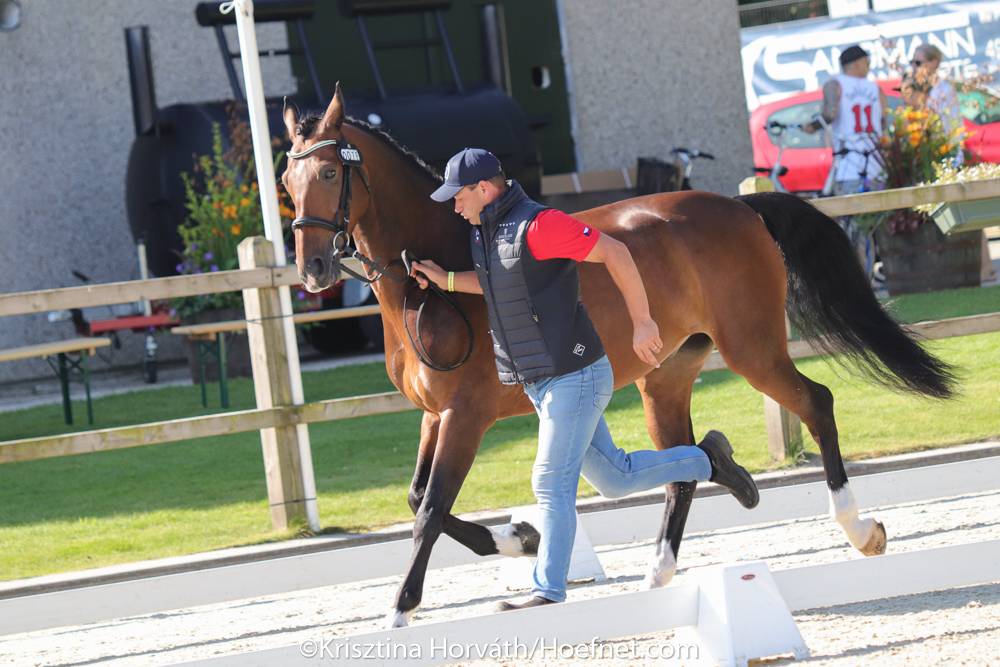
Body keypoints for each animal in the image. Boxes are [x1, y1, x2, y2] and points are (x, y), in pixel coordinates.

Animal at [280, 86, 955, 627]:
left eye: (331, 175)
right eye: (287, 184)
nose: (312, 270)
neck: (438, 278)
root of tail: (742, 209)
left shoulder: (465, 416)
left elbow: (431, 508)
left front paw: (400, 610)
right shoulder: (431, 415)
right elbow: (419, 498)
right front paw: (521, 538)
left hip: (753, 349)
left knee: (815, 404)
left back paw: (861, 531)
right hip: (667, 376)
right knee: (686, 463)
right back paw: (666, 562)